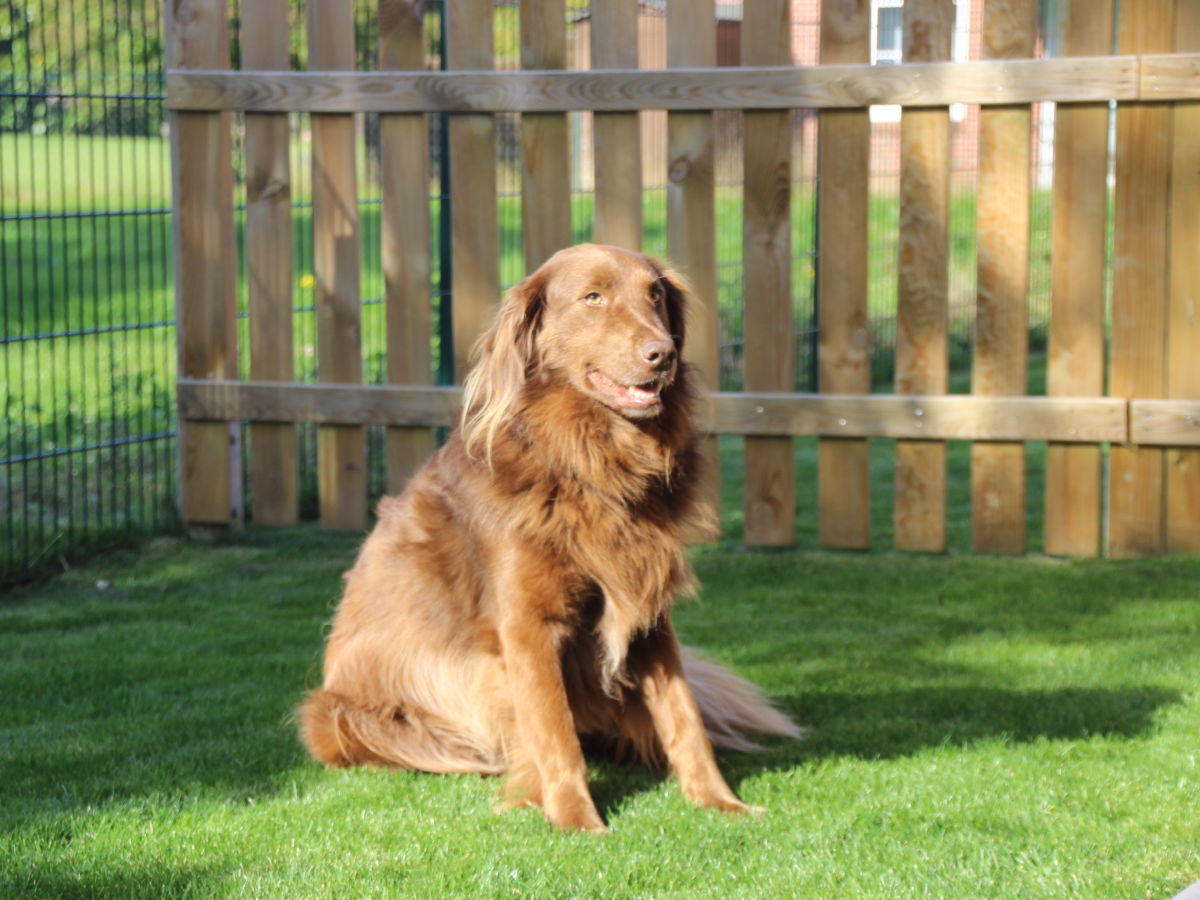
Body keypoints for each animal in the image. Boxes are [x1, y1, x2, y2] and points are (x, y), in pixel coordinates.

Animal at [296, 244, 801, 830]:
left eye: (655, 294)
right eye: (592, 297)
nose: (664, 354)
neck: (588, 466)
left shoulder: (648, 611)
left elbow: (685, 718)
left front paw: (719, 801)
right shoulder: (527, 625)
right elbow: (556, 734)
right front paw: (578, 821)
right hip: (342, 717)